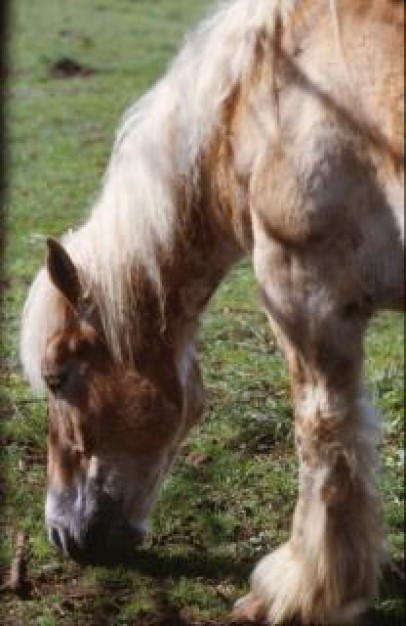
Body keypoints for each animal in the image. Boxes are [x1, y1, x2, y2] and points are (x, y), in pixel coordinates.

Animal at [19, 0, 402, 620]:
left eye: (57, 378)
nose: (61, 535)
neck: (265, 105)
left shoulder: (308, 297)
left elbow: (324, 437)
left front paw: (303, 591)